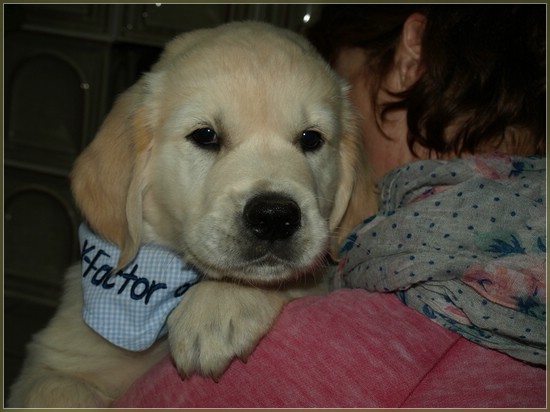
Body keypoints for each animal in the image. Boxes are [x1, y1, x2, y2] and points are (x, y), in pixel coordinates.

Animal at [8, 21, 376, 407]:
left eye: (311, 139)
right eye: (205, 135)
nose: (275, 216)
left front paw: (218, 306)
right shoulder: (55, 359)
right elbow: (56, 389)